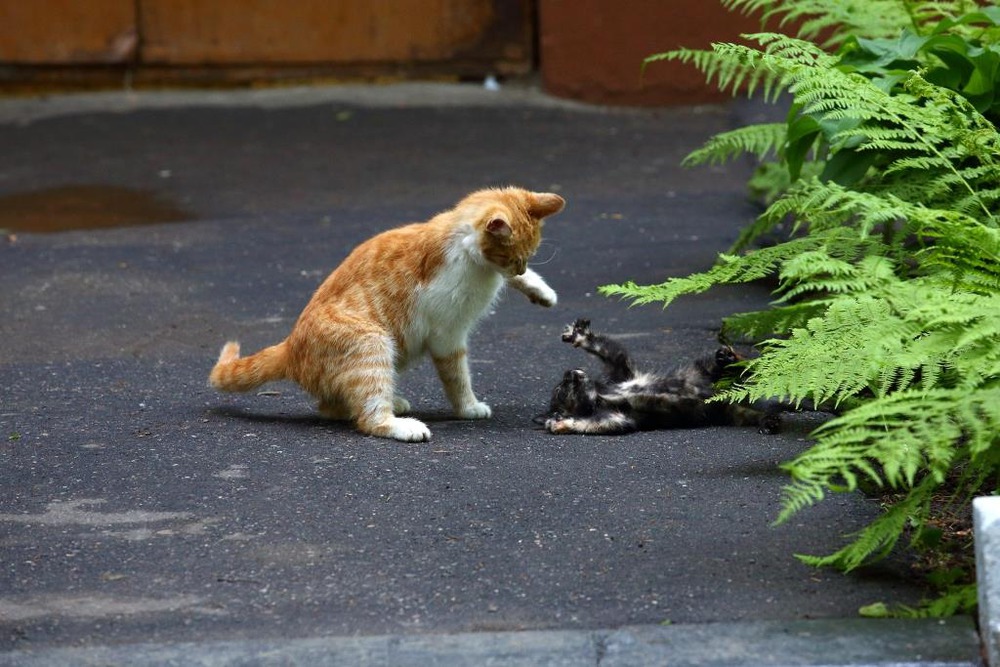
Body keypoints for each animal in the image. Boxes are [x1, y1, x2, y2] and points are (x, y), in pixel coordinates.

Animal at [210, 187, 564, 444]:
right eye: (511, 257)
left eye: (528, 257)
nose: (519, 268)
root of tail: (289, 347)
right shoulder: (448, 336)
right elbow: (458, 377)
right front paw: (468, 407)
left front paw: (540, 290)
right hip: (372, 342)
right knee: (367, 417)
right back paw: (401, 424)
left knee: (331, 406)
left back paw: (394, 402)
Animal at [540, 320, 780, 438]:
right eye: (563, 391)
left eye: (563, 385)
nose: (571, 373)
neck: (601, 395)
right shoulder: (617, 417)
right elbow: (602, 424)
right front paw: (561, 423)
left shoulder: (623, 373)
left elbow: (611, 351)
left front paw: (580, 336)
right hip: (731, 410)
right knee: (754, 414)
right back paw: (769, 421)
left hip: (700, 372)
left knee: (734, 364)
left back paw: (730, 357)